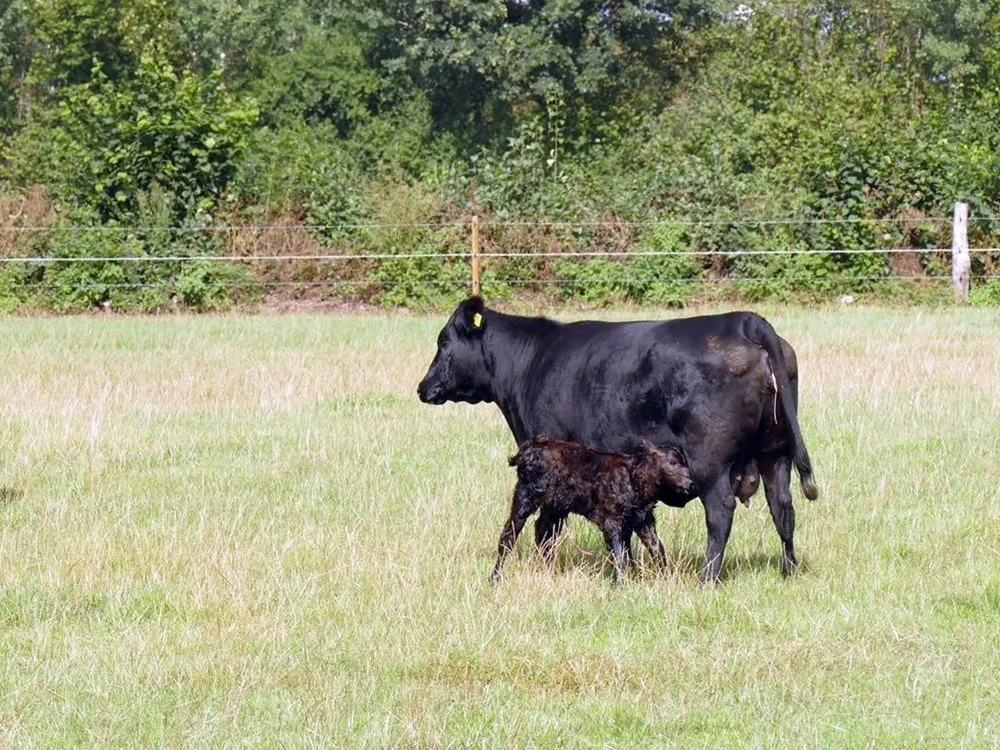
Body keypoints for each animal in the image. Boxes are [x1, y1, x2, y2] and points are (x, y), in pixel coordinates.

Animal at [418, 296, 816, 584]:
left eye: (443, 341)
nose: (423, 387)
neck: (532, 361)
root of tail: (745, 321)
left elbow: (547, 528)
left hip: (710, 462)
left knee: (720, 511)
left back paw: (708, 578)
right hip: (776, 454)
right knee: (783, 509)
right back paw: (789, 572)